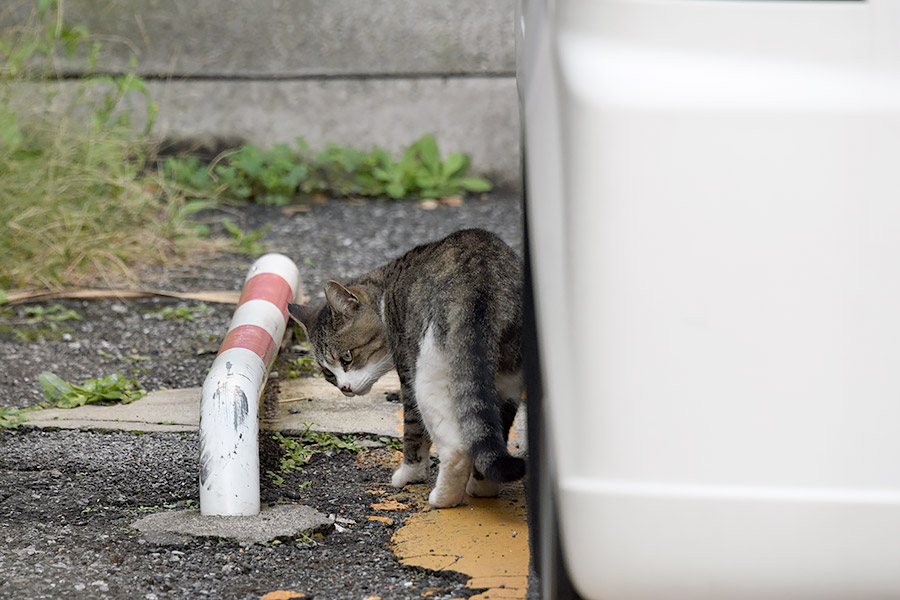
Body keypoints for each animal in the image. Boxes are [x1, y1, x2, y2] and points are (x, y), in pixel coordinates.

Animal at [288, 229, 524, 506]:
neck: (386, 291)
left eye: (347, 357)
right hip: (507, 377)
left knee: (456, 448)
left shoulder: (407, 371)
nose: (344, 388)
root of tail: (481, 279)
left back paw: (443, 498)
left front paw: (410, 474)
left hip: (428, 375)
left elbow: (413, 432)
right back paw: (482, 488)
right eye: (327, 373)